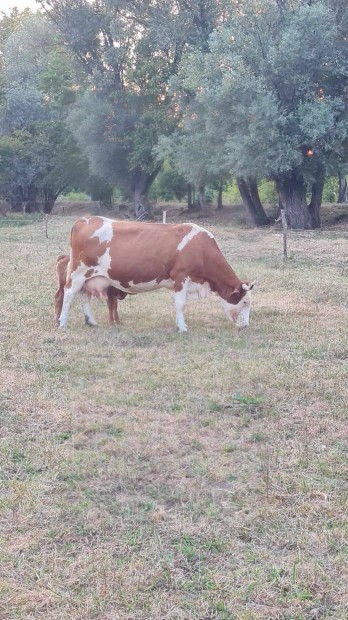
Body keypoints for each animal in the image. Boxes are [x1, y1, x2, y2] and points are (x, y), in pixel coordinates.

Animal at [59, 218, 256, 334]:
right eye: (245, 302)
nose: (246, 326)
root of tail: (85, 219)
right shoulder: (180, 276)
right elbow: (180, 304)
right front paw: (182, 327)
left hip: (89, 278)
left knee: (84, 298)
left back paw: (91, 321)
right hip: (78, 272)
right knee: (68, 295)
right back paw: (63, 322)